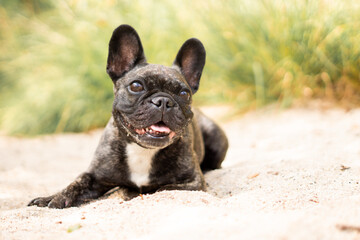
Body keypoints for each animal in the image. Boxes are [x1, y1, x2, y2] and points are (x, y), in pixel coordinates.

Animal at [29, 23, 229, 208]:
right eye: (136, 86)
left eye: (184, 94)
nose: (164, 101)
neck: (142, 150)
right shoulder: (94, 176)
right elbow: (76, 183)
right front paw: (52, 197)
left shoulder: (191, 182)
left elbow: (160, 188)